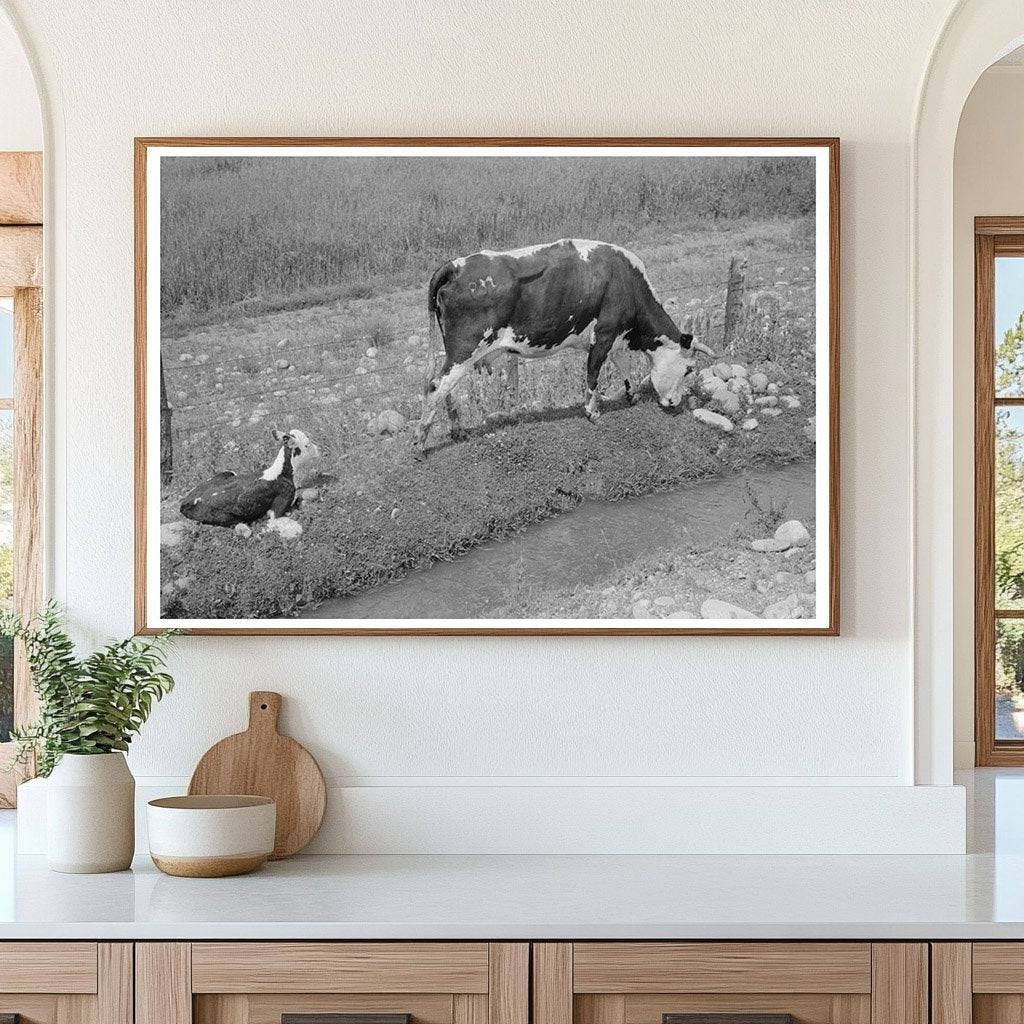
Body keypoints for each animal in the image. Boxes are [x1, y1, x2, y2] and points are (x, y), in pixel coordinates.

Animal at [413, 238, 717, 449]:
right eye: (689, 369)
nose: (675, 402)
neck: (626, 279)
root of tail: (455, 265)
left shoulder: (616, 336)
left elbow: (624, 366)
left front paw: (632, 396)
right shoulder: (603, 334)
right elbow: (593, 373)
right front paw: (592, 411)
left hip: (456, 353)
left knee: (446, 388)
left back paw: (457, 430)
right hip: (465, 349)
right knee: (436, 386)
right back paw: (420, 443)